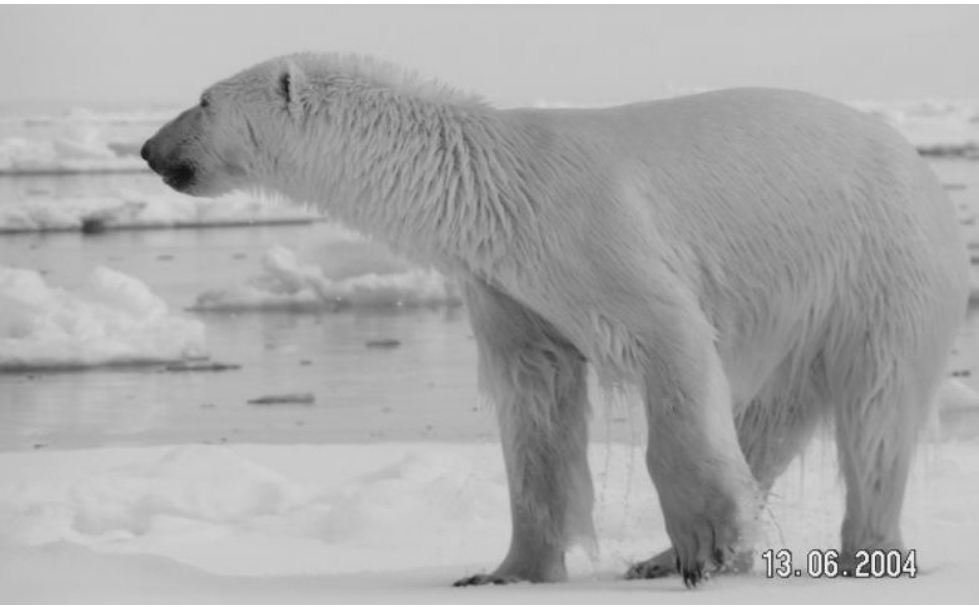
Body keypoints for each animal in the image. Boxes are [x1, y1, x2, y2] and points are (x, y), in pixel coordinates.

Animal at [142, 53, 969, 587]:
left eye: (204, 100)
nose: (149, 148)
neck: (489, 187)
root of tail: (920, 168)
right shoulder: (508, 285)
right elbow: (536, 408)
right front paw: (505, 571)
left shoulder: (591, 233)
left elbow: (670, 341)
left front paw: (703, 544)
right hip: (802, 308)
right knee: (769, 416)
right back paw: (662, 554)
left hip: (877, 267)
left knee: (876, 410)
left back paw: (863, 556)